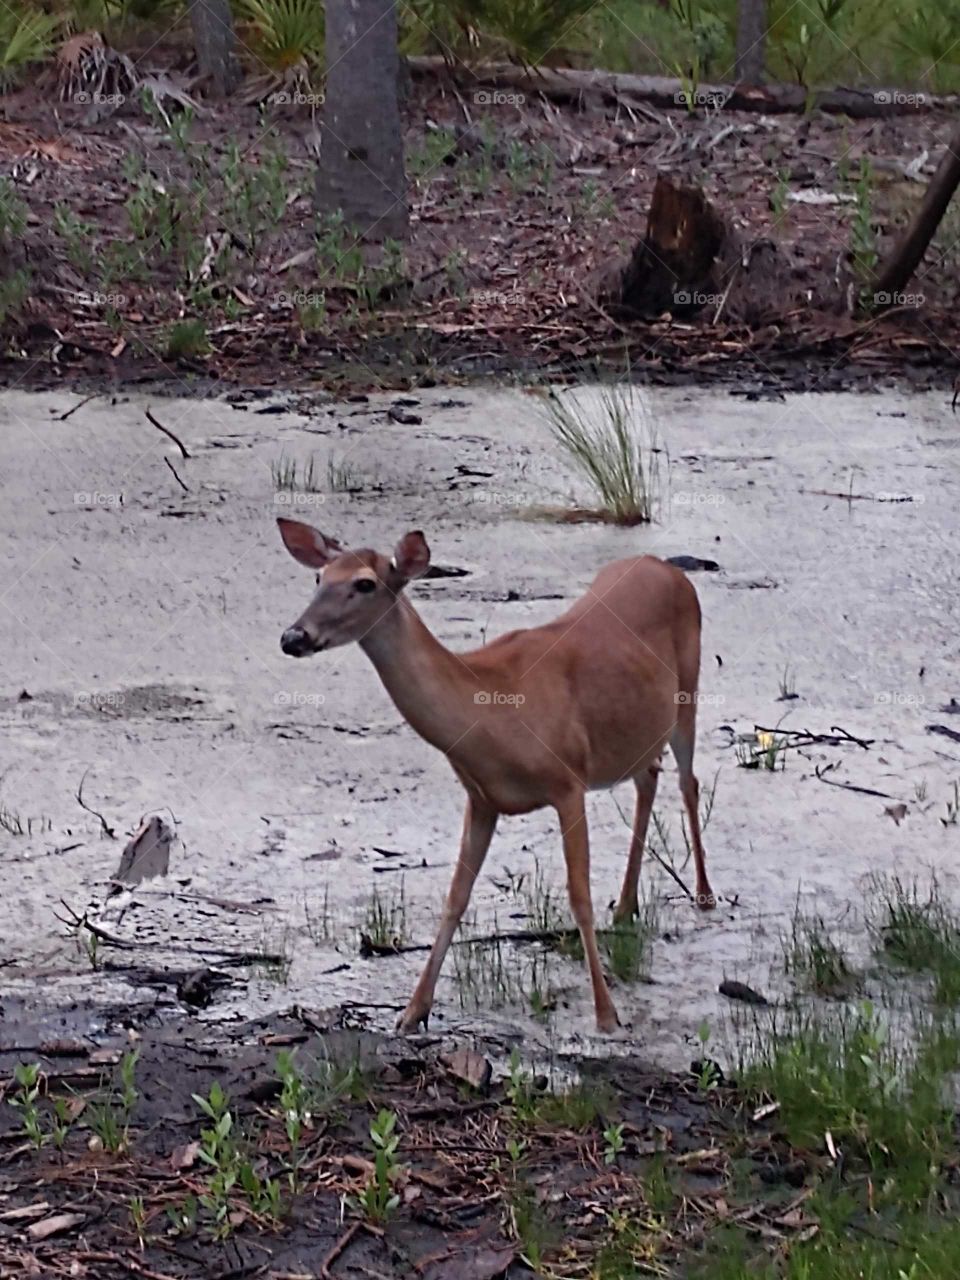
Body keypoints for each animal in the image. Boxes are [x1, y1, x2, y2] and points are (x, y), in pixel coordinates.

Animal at [276, 517, 716, 1034]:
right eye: (319, 578)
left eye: (364, 583)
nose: (293, 637)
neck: (490, 712)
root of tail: (664, 566)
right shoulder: (481, 798)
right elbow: (455, 898)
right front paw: (412, 1011)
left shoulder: (568, 780)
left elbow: (579, 896)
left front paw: (606, 1015)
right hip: (638, 729)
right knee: (649, 777)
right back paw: (627, 906)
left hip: (689, 690)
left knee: (688, 781)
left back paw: (704, 895)